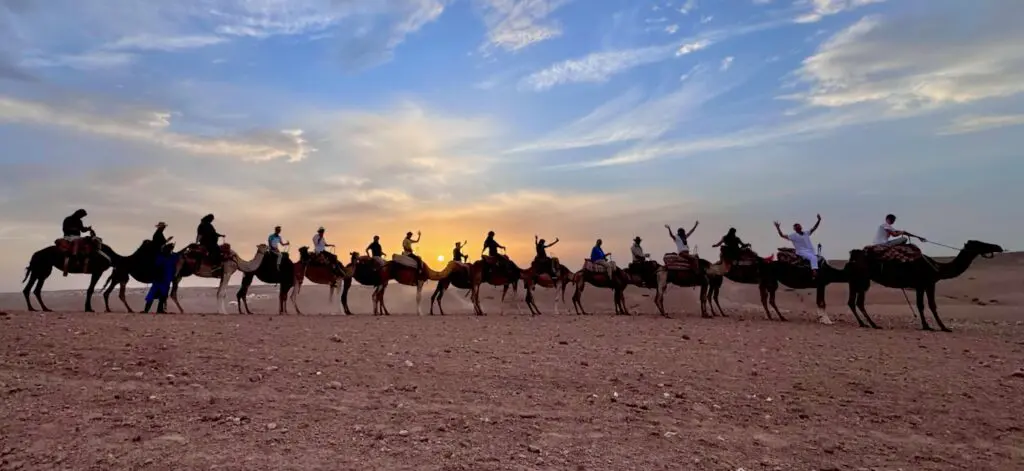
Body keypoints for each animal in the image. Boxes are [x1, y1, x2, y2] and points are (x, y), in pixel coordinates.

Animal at [846, 240, 1003, 332]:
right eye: (980, 243)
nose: (998, 246)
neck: (938, 268)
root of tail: (853, 256)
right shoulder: (926, 284)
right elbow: (928, 305)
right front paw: (939, 327)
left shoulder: (923, 285)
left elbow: (924, 305)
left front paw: (932, 325)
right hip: (862, 279)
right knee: (858, 302)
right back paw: (872, 324)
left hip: (856, 280)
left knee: (853, 302)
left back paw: (865, 323)